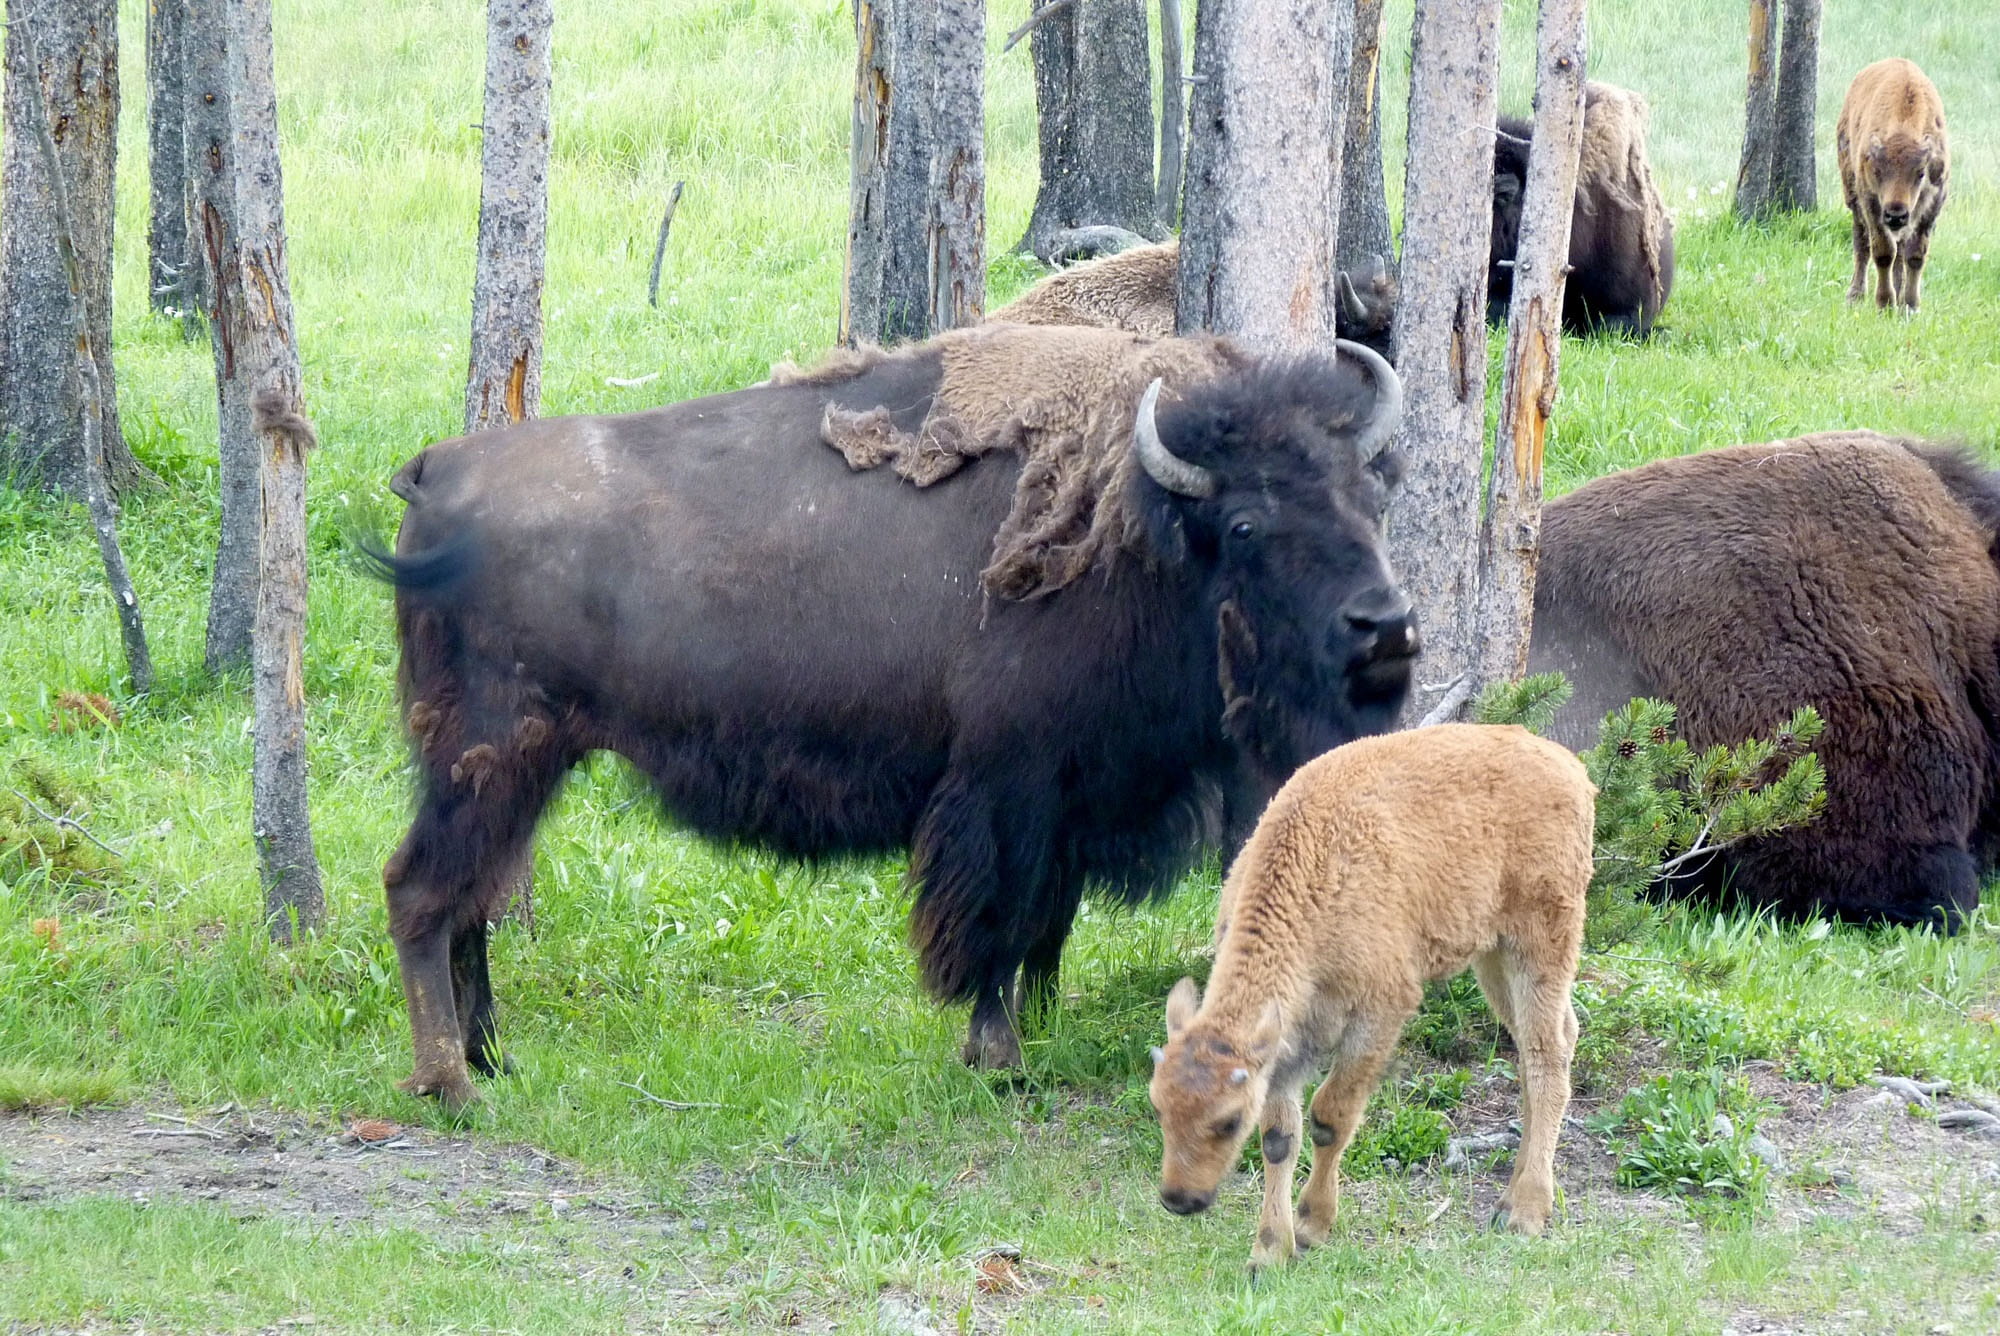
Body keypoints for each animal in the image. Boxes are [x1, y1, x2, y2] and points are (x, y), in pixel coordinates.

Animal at [369, 322, 1417, 1106]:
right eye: (1245, 524)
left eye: (1370, 497)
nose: (1386, 629)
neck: (1144, 530)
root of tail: (435, 469)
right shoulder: (1006, 789)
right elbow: (997, 924)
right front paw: (999, 1058)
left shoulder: (1073, 797)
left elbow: (1050, 927)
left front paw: (1041, 1029)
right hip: (490, 755)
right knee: (421, 891)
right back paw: (449, 1084)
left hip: (514, 768)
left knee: (472, 900)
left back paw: (492, 1058)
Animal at [1838, 58, 1950, 312]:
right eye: (1877, 171)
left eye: (1921, 173)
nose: (1895, 215)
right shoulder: (1871, 202)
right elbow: (1883, 251)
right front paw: (1884, 303)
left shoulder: (1933, 203)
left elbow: (1915, 254)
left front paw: (1910, 306)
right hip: (1853, 196)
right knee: (1862, 242)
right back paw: (1855, 295)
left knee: (1900, 248)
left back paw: (1899, 293)